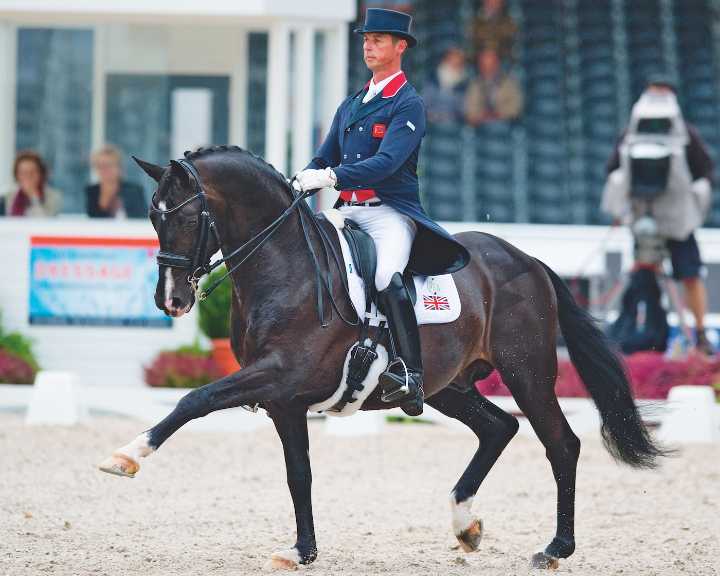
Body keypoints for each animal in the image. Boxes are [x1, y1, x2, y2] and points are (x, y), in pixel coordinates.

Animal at [98, 146, 664, 570]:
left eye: (189, 217)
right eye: (152, 216)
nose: (170, 300)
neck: (285, 265)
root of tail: (527, 259)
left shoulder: (275, 375)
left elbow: (194, 399)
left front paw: (126, 455)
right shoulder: (284, 398)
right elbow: (298, 472)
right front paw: (302, 551)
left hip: (527, 373)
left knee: (561, 444)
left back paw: (555, 549)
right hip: (448, 386)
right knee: (499, 427)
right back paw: (466, 525)